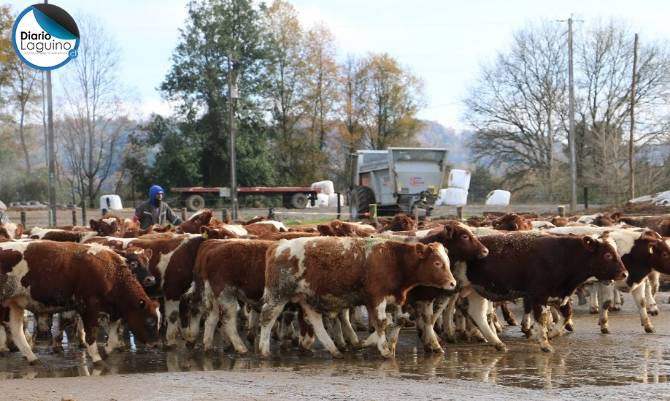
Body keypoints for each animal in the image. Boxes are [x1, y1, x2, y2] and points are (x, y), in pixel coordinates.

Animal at [0, 239, 160, 364]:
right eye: (150, 321)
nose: (155, 344)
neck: (109, 271)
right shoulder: (89, 306)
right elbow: (91, 333)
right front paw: (96, 358)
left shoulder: (113, 310)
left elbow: (113, 337)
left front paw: (106, 350)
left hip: (14, 303)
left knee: (16, 330)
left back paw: (32, 358)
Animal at [258, 236, 456, 358]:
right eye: (437, 263)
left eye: (447, 262)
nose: (453, 283)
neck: (393, 259)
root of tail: (279, 245)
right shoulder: (377, 298)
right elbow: (382, 323)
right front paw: (384, 350)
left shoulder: (390, 300)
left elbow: (397, 321)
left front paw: (376, 344)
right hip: (278, 294)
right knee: (268, 317)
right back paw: (264, 350)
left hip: (306, 298)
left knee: (316, 322)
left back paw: (334, 350)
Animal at [460, 231, 628, 350]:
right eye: (607, 255)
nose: (624, 273)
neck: (564, 255)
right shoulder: (538, 295)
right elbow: (541, 317)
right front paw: (544, 343)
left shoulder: (560, 293)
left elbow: (566, 315)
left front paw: (552, 334)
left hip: (475, 290)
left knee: (478, 314)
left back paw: (496, 342)